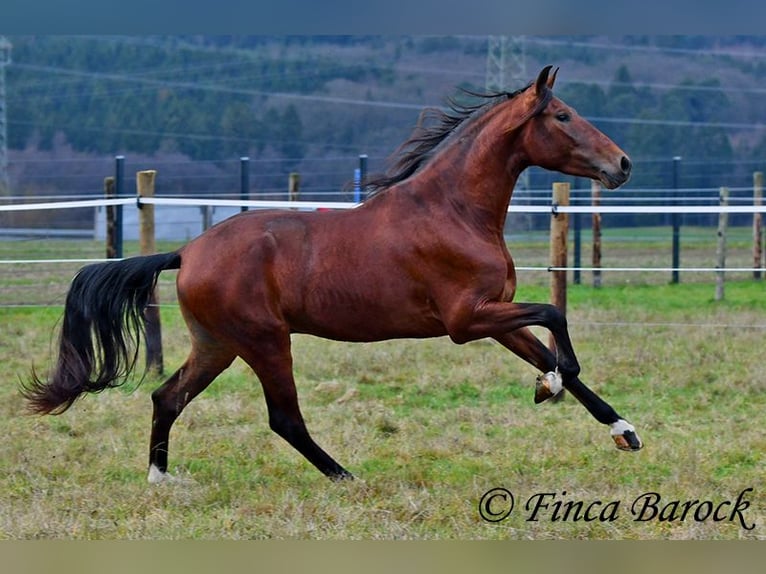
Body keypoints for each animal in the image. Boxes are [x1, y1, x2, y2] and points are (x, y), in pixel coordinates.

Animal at [23, 66, 641, 484]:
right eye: (562, 116)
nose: (623, 164)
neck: (452, 210)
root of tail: (188, 251)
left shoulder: (495, 316)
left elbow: (549, 349)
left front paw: (622, 430)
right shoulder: (467, 320)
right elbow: (557, 320)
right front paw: (550, 386)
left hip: (217, 345)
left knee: (167, 397)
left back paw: (162, 481)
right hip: (265, 342)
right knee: (283, 419)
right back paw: (346, 477)